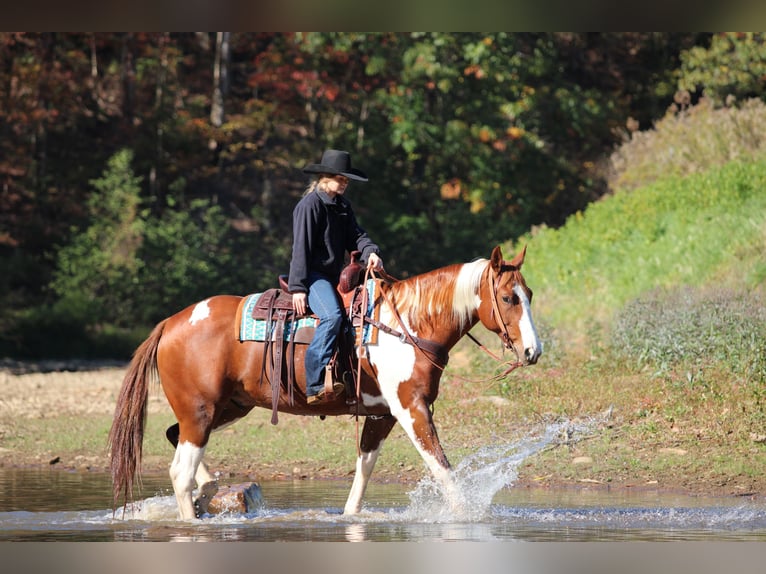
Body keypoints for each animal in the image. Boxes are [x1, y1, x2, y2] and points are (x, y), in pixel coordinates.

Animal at [108, 245, 542, 520]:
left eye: (530, 294)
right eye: (508, 298)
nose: (532, 351)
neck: (406, 324)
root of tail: (171, 323)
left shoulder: (382, 415)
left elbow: (363, 472)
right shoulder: (411, 409)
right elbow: (442, 468)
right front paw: (467, 515)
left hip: (224, 408)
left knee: (173, 439)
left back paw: (213, 490)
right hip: (200, 412)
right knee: (179, 473)